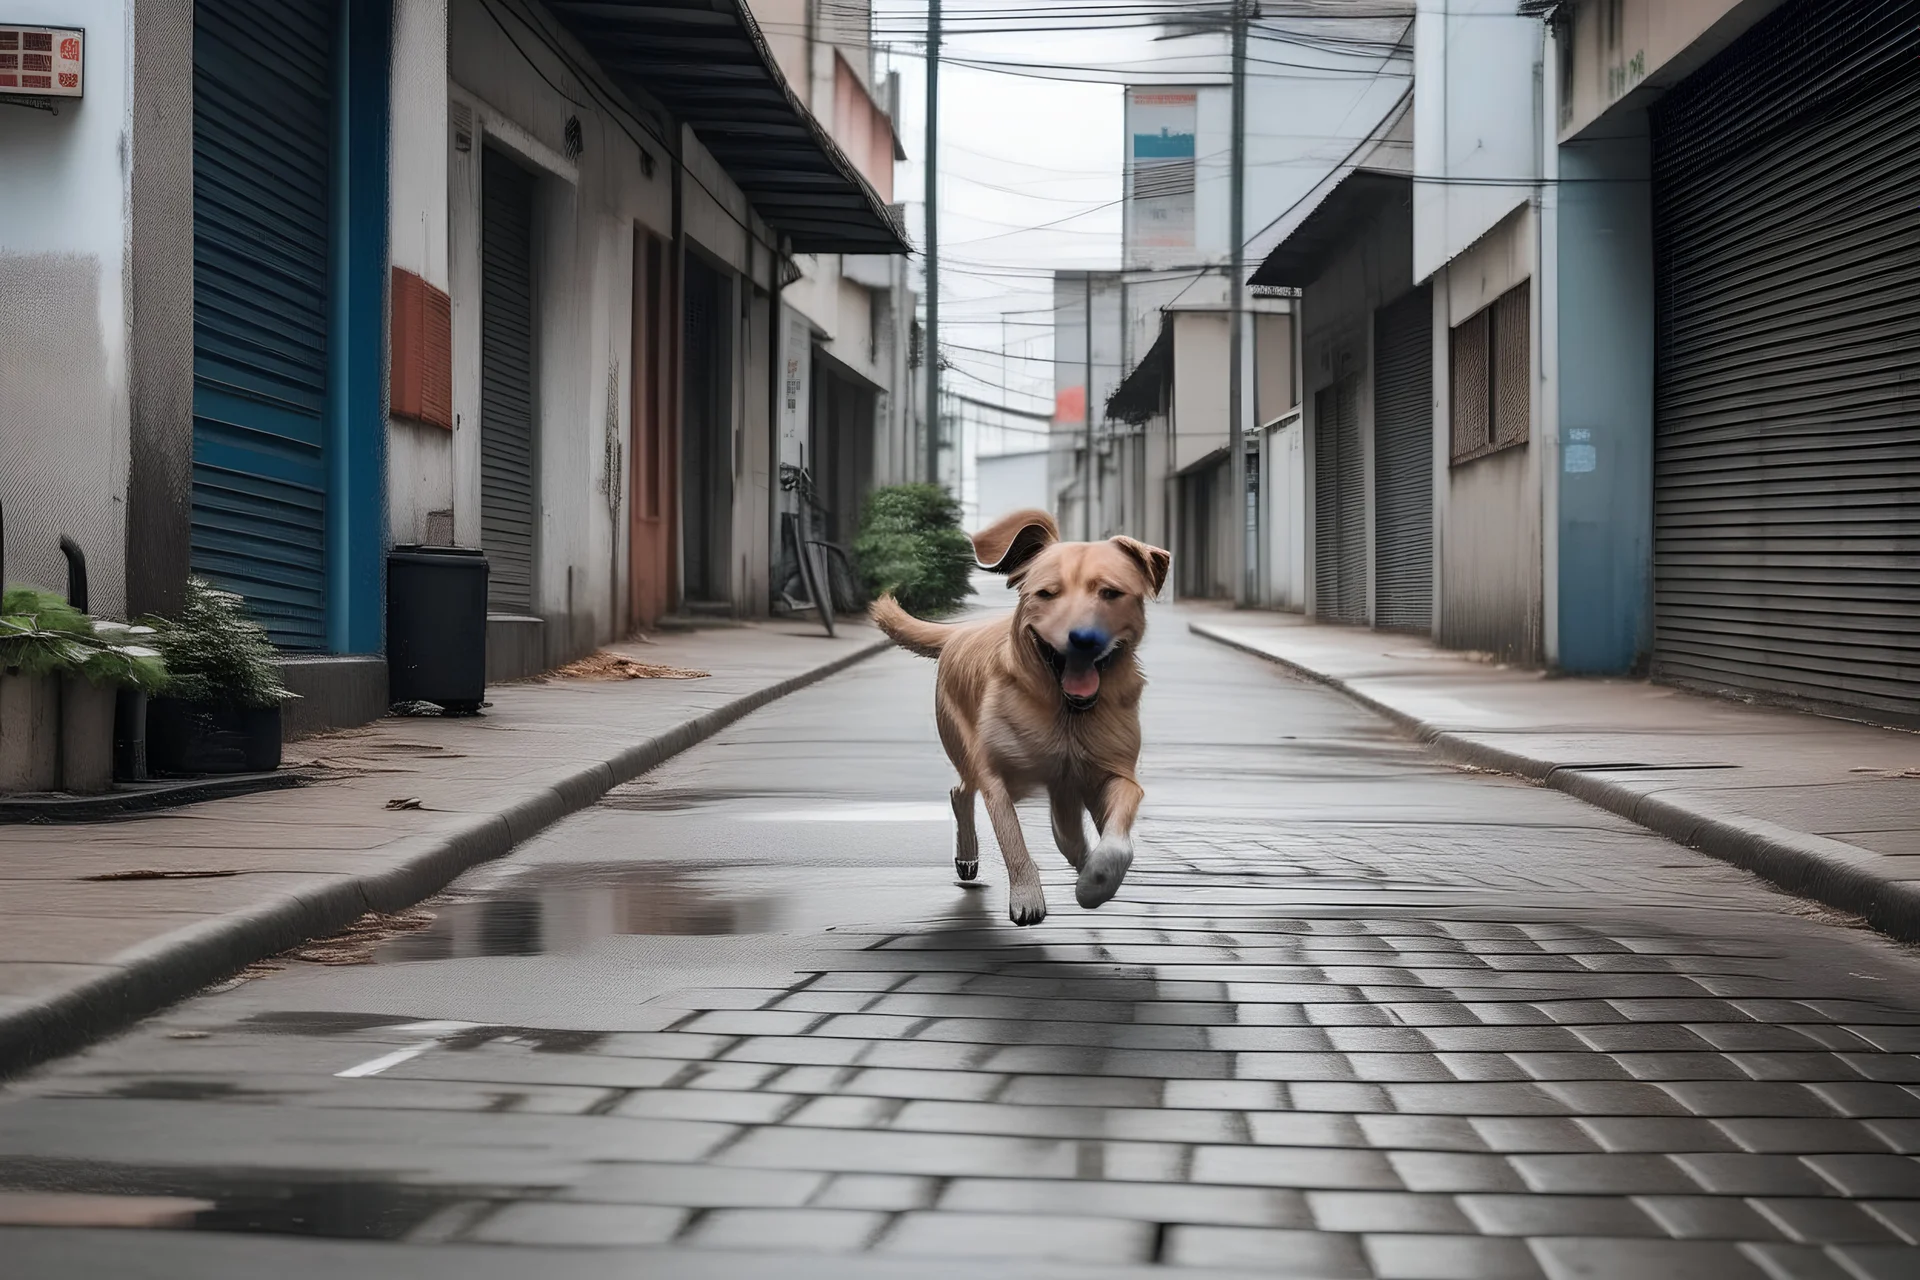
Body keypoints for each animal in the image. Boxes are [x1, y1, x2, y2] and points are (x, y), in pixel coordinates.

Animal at [871, 506, 1167, 924]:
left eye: (1110, 592)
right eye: (1047, 593)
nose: (1084, 639)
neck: (1068, 714)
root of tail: (959, 632)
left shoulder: (1113, 773)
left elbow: (1116, 839)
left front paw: (1096, 880)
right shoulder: (996, 776)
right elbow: (1012, 835)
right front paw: (1027, 895)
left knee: (1065, 829)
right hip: (965, 746)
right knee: (961, 790)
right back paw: (968, 856)